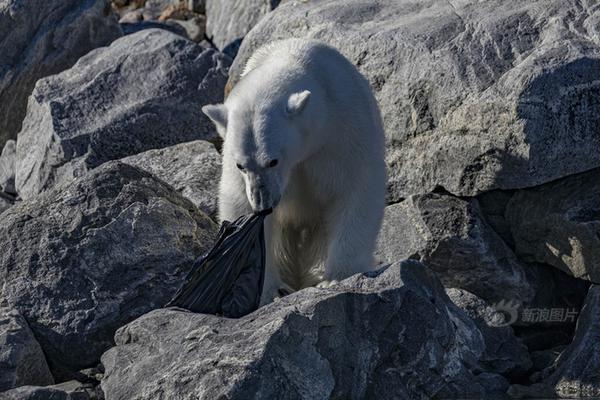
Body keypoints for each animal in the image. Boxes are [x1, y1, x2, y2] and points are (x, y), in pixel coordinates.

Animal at [204, 39, 386, 304]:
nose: (263, 204)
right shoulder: (232, 157)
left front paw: (337, 277)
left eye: (273, 161)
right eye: (241, 165)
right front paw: (269, 291)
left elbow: (355, 191)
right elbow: (241, 206)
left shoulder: (343, 133)